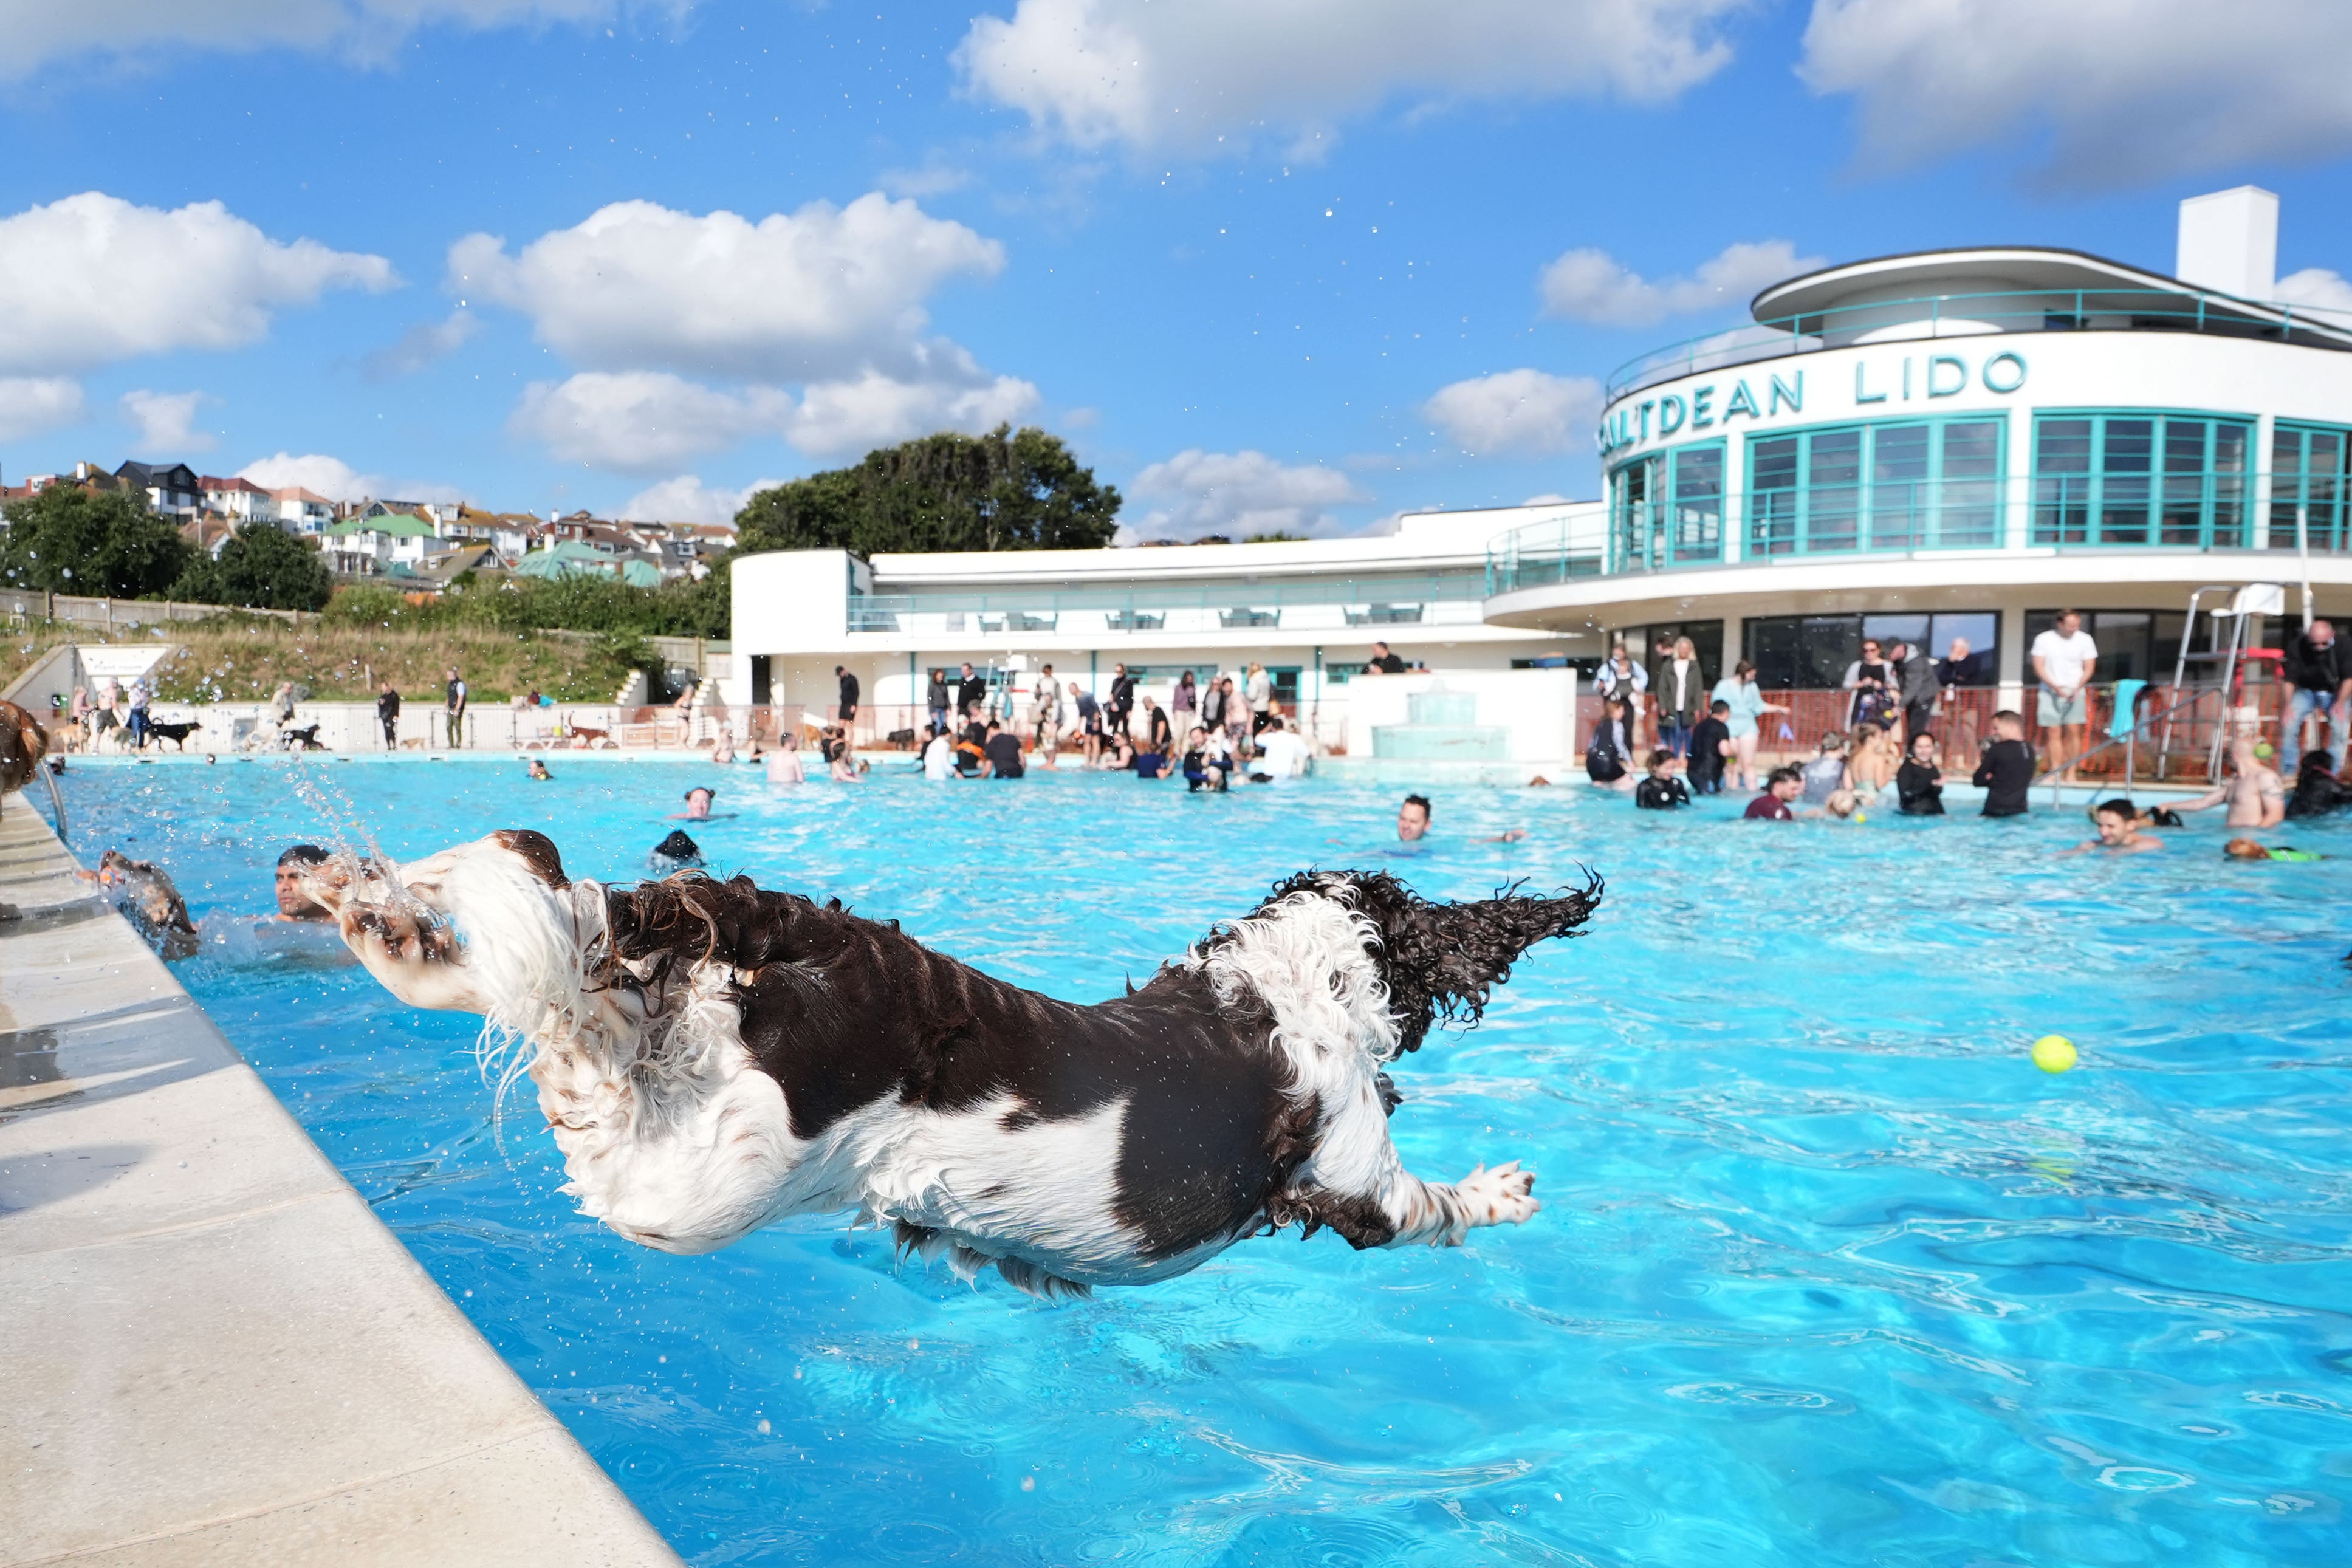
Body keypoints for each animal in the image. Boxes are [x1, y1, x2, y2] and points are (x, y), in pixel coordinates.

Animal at [298, 832, 1599, 1298]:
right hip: (710, 1177)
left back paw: (372, 905)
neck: (1296, 980)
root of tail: (794, 929)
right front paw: (1504, 1191)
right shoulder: (1353, 1177)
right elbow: (1429, 1205)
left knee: (572, 948)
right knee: (574, 1045)